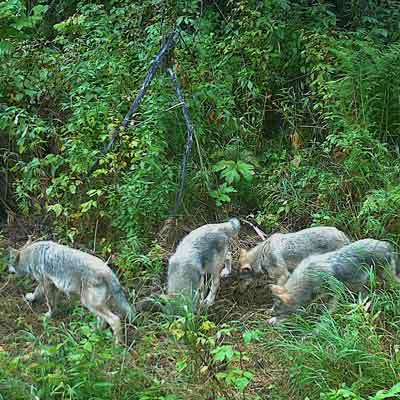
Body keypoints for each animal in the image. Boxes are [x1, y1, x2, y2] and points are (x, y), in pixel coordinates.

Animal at [7, 239, 135, 346]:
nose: (7, 270)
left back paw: (117, 345)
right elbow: (40, 294)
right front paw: (31, 298)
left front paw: (48, 316)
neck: (32, 256)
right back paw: (95, 333)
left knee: (115, 320)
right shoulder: (52, 285)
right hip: (95, 305)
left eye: (9, 264)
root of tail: (108, 271)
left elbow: (49, 303)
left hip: (90, 304)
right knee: (103, 321)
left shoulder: (46, 283)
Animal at [268, 238, 400, 324]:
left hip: (387, 278)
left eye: (279, 314)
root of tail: (386, 244)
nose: (268, 322)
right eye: (274, 312)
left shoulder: (336, 292)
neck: (309, 277)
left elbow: (327, 313)